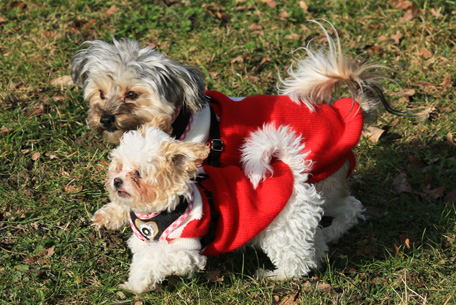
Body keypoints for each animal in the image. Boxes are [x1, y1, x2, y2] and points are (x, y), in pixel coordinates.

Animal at [92, 115, 328, 294]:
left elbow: (155, 260)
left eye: (138, 174)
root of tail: (290, 171)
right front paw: (136, 283)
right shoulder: (145, 240)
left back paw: (275, 276)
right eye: (118, 166)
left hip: (281, 231)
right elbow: (143, 258)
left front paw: (136, 286)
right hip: (296, 226)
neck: (163, 209)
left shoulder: (185, 248)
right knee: (314, 244)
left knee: (296, 262)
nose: (116, 181)